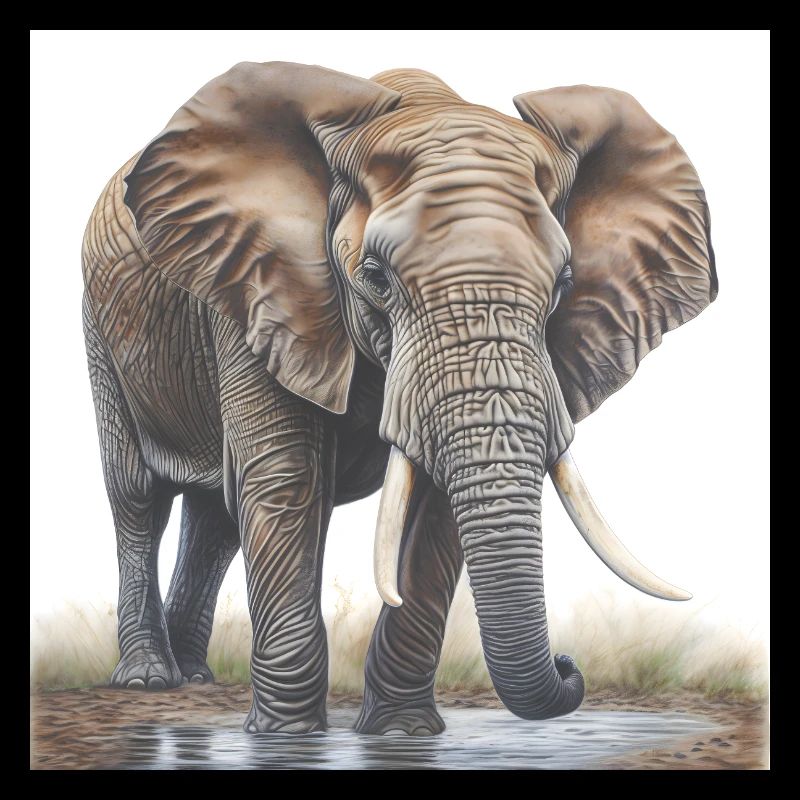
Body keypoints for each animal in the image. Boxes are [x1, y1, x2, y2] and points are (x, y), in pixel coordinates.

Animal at [81, 62, 717, 735]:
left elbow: (434, 504)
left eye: (565, 282)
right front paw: (286, 737)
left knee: (216, 520)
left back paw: (196, 677)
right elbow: (286, 479)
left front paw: (399, 732)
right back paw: (149, 678)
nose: (570, 666)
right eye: (376, 278)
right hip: (102, 329)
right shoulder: (257, 289)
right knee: (138, 498)